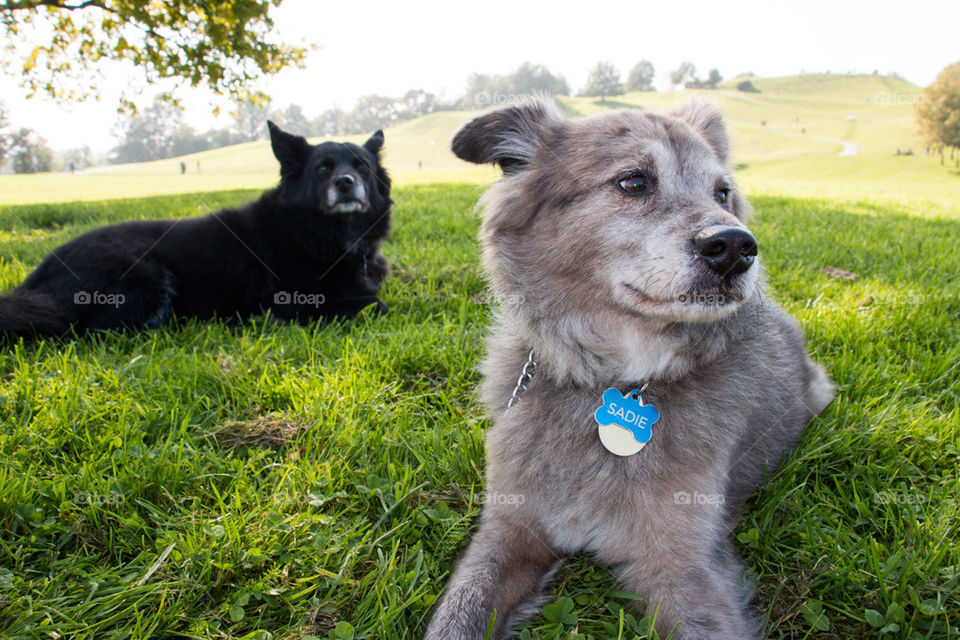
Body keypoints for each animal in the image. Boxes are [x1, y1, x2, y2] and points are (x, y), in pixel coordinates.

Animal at [0, 121, 394, 340]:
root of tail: (36, 280)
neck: (321, 232)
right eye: (323, 168)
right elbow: (376, 304)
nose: (345, 182)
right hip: (145, 273)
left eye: (361, 166)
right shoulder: (289, 301)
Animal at [426, 100, 832, 640]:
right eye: (634, 181)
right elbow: (457, 614)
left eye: (722, 193)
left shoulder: (682, 566)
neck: (610, 380)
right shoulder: (510, 528)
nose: (735, 246)